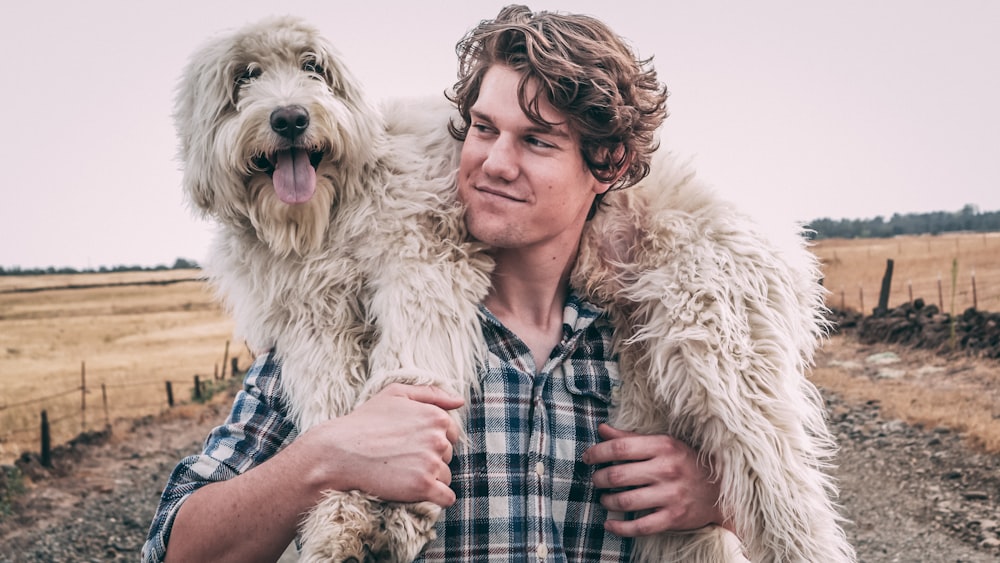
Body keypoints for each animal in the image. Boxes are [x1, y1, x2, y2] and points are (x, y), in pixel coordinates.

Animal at [178, 16, 852, 563]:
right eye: (245, 76)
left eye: (313, 67)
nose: (290, 117)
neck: (329, 212)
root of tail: (781, 234)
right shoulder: (313, 319)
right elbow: (330, 420)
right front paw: (340, 523)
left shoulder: (422, 261)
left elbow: (411, 369)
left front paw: (402, 510)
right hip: (649, 363)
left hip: (720, 351)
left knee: (790, 503)